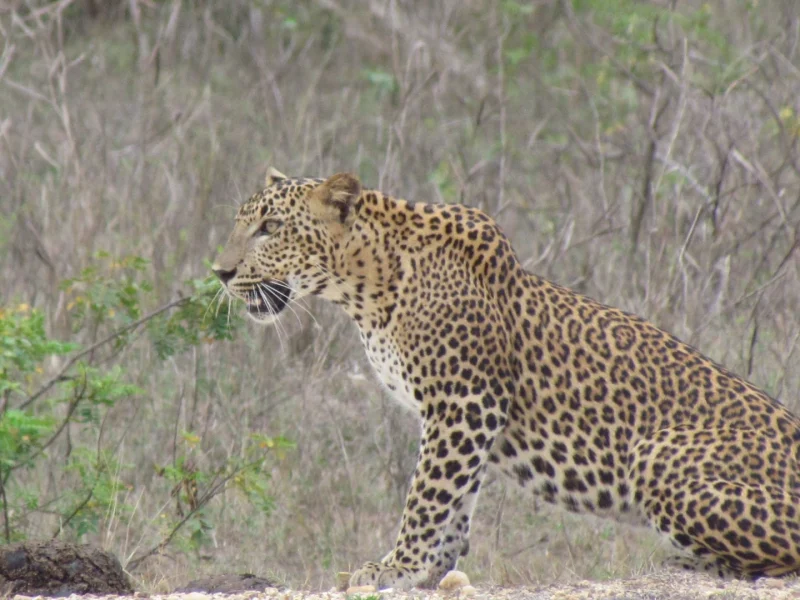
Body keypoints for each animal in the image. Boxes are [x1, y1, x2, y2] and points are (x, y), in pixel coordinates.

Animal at [213, 168, 800, 590]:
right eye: (241, 223)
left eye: (270, 229)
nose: (219, 272)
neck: (364, 288)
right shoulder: (463, 413)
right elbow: (456, 496)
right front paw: (434, 569)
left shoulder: (464, 401)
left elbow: (428, 493)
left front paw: (396, 566)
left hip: (658, 456)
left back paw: (684, 565)